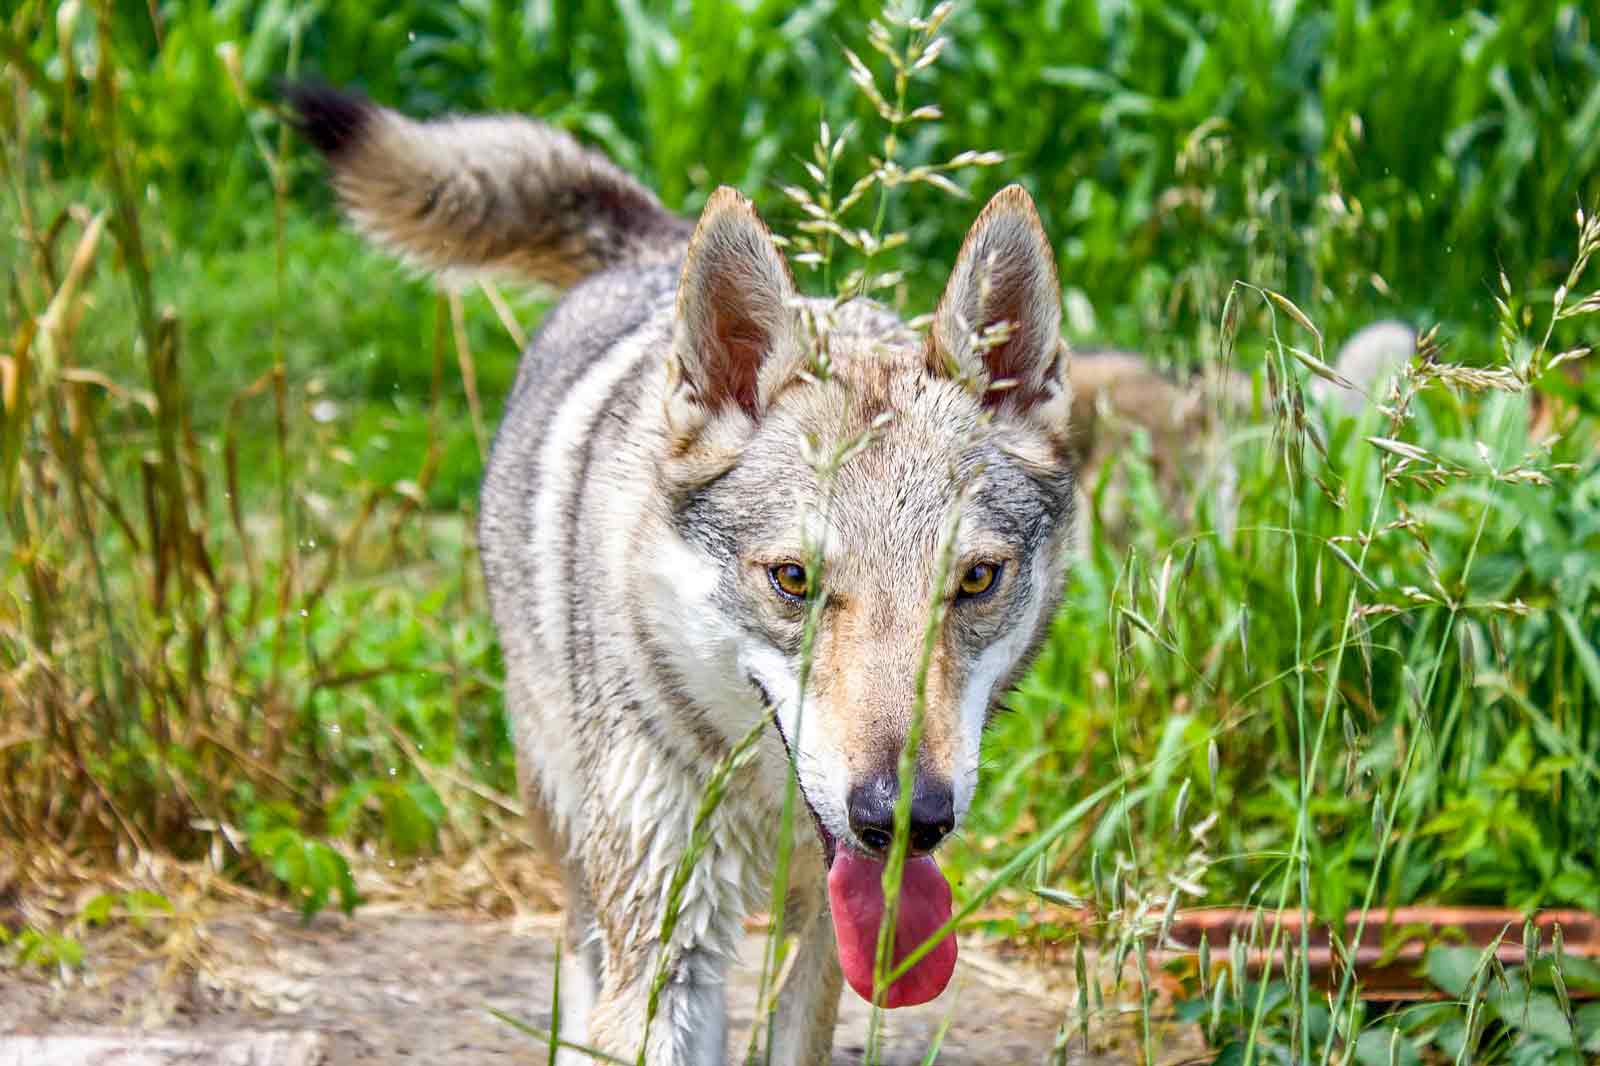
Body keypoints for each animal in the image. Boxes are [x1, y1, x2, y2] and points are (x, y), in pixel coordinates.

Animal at [288, 84, 1080, 1063]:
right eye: (792, 579)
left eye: (974, 581)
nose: (903, 820)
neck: (765, 804)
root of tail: (658, 247)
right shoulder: (669, 943)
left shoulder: (827, 941)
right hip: (570, 822)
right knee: (585, 953)